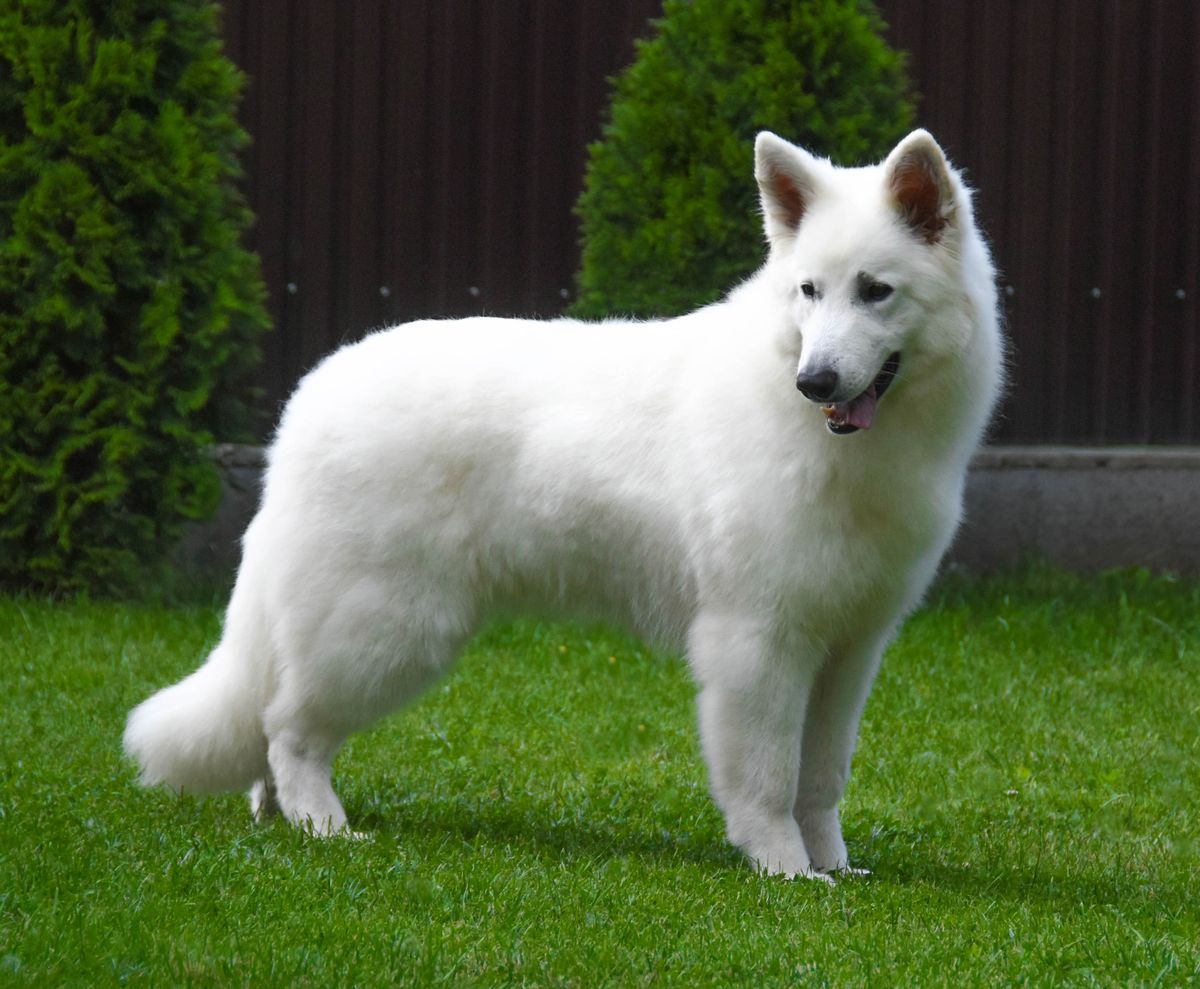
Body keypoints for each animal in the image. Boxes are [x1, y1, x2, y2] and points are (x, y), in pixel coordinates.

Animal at [125, 129, 1002, 879]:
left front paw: (834, 868)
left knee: (269, 729)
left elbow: (821, 776)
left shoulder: (847, 650)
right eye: (809, 292)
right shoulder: (758, 642)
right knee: (289, 729)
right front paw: (784, 870)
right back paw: (326, 826)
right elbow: (767, 776)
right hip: (385, 631)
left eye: (876, 292)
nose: (813, 381)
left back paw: (282, 818)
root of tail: (308, 400)